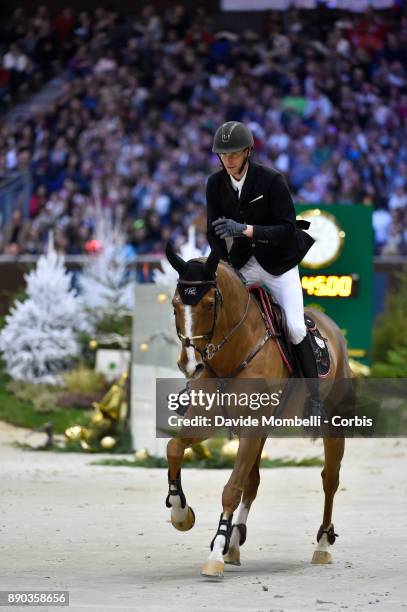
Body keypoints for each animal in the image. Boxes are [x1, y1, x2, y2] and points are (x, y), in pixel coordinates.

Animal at [164, 241, 352, 576]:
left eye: (209, 304)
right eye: (175, 305)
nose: (190, 365)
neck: (233, 351)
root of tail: (332, 330)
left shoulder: (251, 429)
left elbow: (231, 488)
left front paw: (214, 554)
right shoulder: (209, 421)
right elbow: (174, 448)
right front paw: (181, 514)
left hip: (332, 425)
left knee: (330, 479)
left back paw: (322, 546)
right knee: (253, 483)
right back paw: (234, 543)